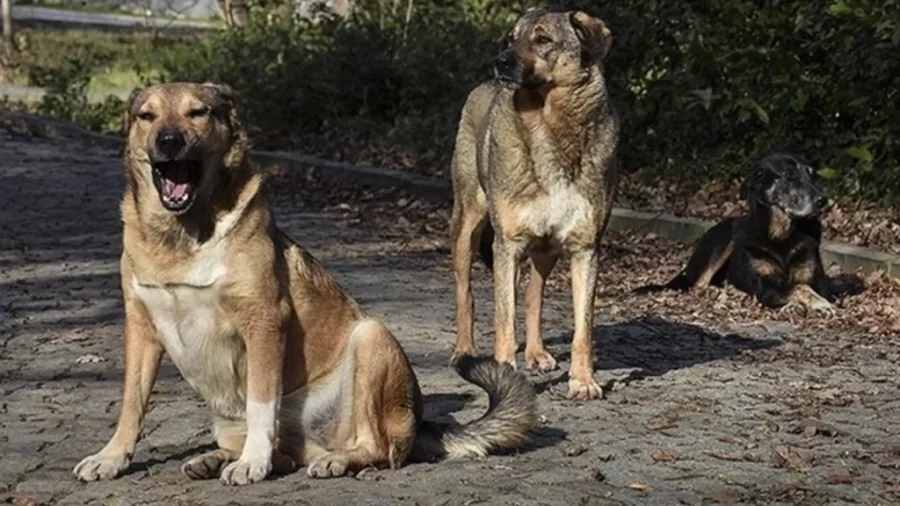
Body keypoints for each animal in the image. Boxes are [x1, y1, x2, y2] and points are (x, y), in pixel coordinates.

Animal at [74, 83, 536, 486]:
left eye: (197, 112)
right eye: (146, 116)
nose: (168, 140)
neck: (182, 238)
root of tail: (420, 422)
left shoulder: (263, 322)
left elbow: (261, 404)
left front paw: (252, 464)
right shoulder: (141, 327)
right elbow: (132, 404)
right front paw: (111, 457)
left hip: (371, 339)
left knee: (375, 448)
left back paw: (333, 461)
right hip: (227, 419)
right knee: (287, 454)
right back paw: (215, 459)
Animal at [450, 9, 620, 402]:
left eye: (542, 39)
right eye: (511, 38)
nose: (500, 61)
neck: (549, 125)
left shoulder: (585, 249)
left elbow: (582, 329)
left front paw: (583, 380)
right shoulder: (508, 245)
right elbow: (503, 319)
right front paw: (504, 375)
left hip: (545, 250)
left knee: (533, 294)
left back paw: (538, 353)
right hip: (468, 226)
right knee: (466, 293)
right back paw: (464, 351)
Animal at [632, 152, 836, 314]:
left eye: (811, 175)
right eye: (789, 176)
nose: (823, 200)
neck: (780, 235)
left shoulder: (817, 281)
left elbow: (803, 285)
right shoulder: (766, 287)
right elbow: (799, 287)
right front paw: (818, 304)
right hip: (726, 240)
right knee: (698, 284)